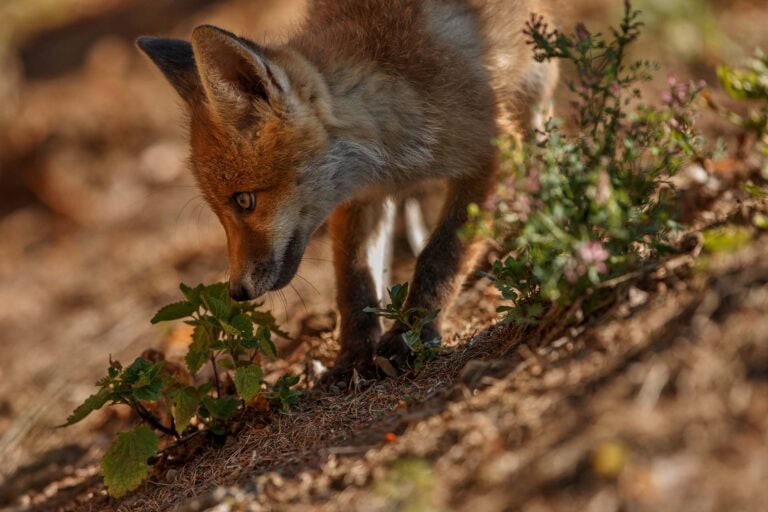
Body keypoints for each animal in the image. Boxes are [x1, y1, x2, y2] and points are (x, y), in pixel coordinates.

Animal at [137, 0, 558, 382]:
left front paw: (411, 334)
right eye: (223, 211)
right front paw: (355, 355)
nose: (236, 292)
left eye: (244, 200)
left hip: (533, 90)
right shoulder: (358, 194)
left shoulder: (492, 154)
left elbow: (440, 257)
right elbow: (353, 279)